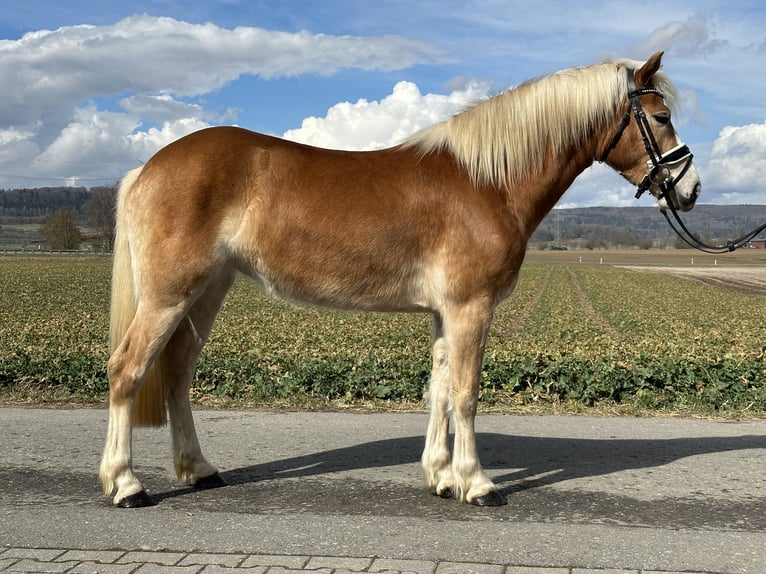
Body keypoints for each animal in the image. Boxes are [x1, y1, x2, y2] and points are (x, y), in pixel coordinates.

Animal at [100, 50, 704, 508]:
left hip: (206, 292)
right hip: (169, 295)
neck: (487, 182)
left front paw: (440, 476)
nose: (691, 187)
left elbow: (438, 390)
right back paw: (126, 484)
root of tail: (148, 167)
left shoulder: (444, 313)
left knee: (176, 374)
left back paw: (198, 468)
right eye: (660, 116)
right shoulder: (469, 307)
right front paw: (476, 483)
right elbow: (465, 394)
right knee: (128, 369)